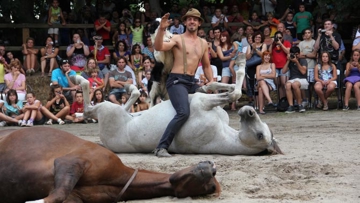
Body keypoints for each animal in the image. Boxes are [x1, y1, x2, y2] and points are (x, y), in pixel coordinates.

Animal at [0, 127, 219, 202]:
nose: (210, 168)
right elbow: (58, 194)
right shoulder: (71, 162)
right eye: (212, 181)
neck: (117, 179)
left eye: (209, 187)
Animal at [71, 58, 282, 155]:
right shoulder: (202, 98)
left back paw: (76, 79)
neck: (222, 133)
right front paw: (240, 64)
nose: (249, 111)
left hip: (108, 109)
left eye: (260, 135)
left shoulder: (200, 102)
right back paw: (130, 87)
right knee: (133, 100)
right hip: (124, 112)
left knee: (89, 108)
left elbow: (235, 93)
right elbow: (217, 86)